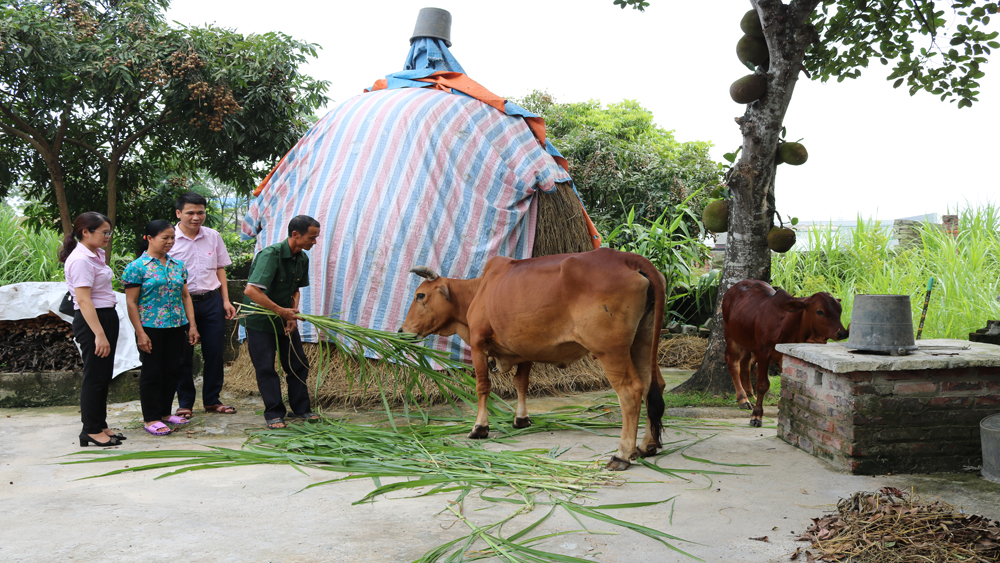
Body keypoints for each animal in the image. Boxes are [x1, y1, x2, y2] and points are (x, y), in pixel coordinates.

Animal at [398, 249, 664, 474]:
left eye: (420, 295)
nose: (401, 331)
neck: (479, 290)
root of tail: (630, 259)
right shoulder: (524, 349)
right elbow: (521, 383)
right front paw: (521, 419)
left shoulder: (478, 345)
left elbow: (483, 387)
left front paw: (479, 428)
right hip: (642, 341)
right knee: (653, 386)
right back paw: (647, 446)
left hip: (610, 350)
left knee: (630, 391)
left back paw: (622, 454)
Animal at [724, 280, 848, 430]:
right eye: (820, 311)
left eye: (839, 311)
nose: (842, 333)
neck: (788, 325)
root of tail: (733, 288)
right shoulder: (763, 353)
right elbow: (763, 385)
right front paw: (756, 416)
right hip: (730, 337)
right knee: (733, 364)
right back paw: (743, 399)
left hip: (747, 339)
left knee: (745, 363)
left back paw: (749, 393)